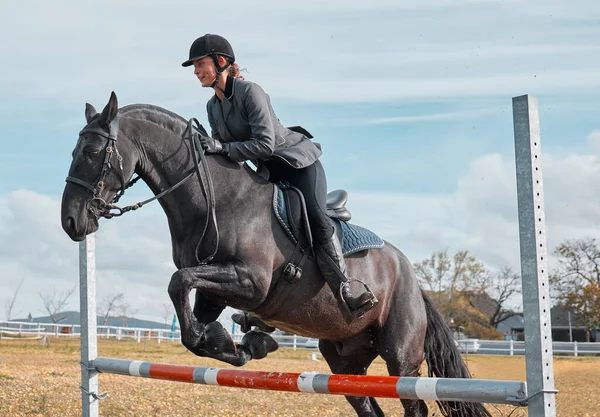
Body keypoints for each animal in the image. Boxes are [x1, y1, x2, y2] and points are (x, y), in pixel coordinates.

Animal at [62, 93, 492, 416]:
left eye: (93, 151)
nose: (71, 222)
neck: (218, 200)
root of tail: (414, 281)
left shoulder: (250, 283)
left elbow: (177, 283)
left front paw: (241, 341)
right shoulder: (214, 290)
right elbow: (189, 325)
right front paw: (243, 344)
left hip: (401, 356)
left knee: (412, 401)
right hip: (345, 356)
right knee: (364, 400)